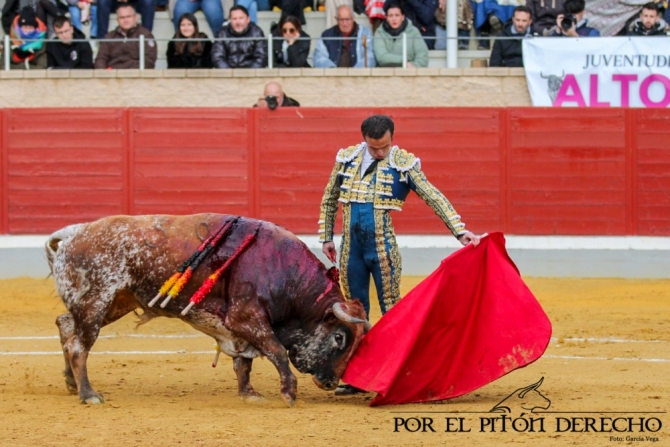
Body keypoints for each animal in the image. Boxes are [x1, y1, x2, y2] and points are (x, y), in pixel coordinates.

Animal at [44, 215, 370, 408]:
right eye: (340, 338)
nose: (331, 384)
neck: (284, 271)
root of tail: (73, 233)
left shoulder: (240, 327)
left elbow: (244, 362)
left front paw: (249, 393)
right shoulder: (247, 318)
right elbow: (276, 351)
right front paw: (289, 393)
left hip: (115, 302)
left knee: (66, 327)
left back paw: (72, 383)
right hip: (96, 301)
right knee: (78, 345)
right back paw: (89, 394)